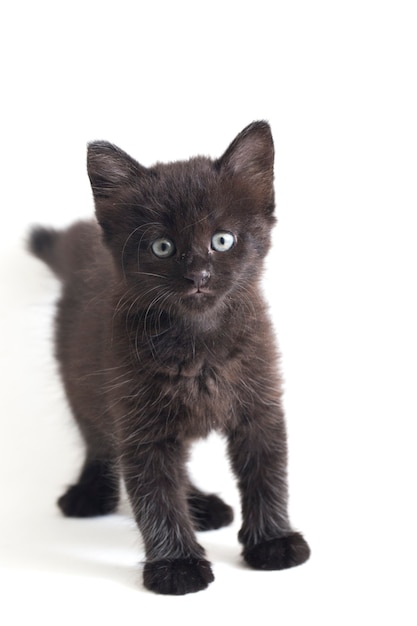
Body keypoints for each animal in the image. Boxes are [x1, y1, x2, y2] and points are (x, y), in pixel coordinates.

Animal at [28, 119, 308, 592]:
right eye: (162, 247)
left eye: (222, 240)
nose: (198, 276)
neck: (199, 344)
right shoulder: (140, 423)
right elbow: (155, 496)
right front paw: (176, 566)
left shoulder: (259, 402)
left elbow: (267, 473)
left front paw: (273, 540)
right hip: (81, 382)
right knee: (98, 440)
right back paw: (89, 492)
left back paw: (202, 505)